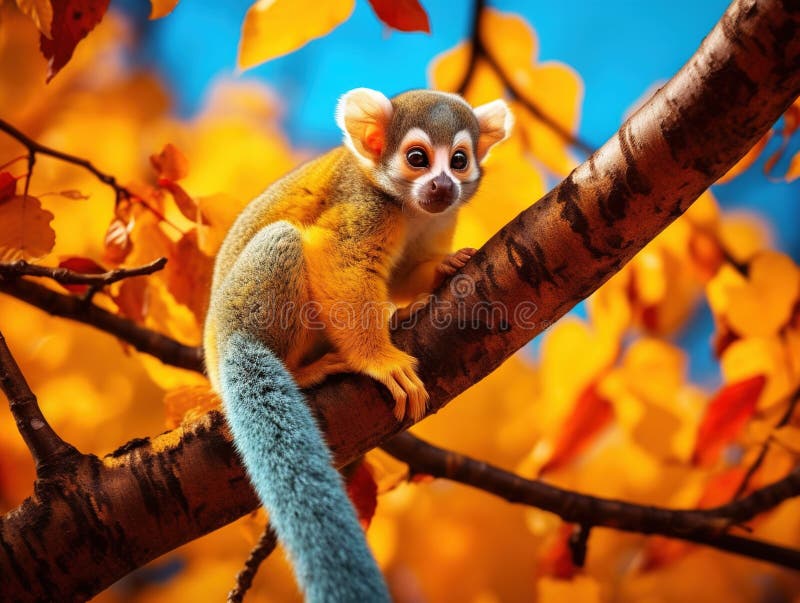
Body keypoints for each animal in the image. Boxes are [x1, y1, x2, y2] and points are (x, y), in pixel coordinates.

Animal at [203, 88, 511, 602]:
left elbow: (404, 272)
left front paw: (445, 267)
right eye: (417, 158)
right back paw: (303, 370)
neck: (407, 207)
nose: (443, 186)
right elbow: (338, 258)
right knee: (285, 239)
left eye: (460, 160)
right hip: (237, 316)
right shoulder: (367, 205)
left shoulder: (440, 217)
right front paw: (379, 360)